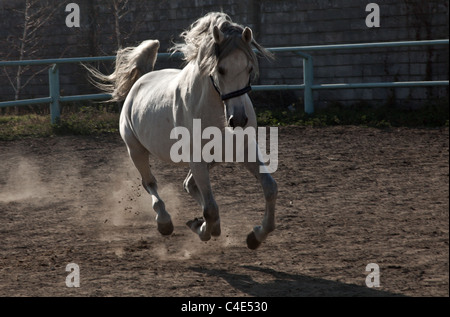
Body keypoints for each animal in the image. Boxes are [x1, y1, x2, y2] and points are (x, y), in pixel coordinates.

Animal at [87, 12, 276, 248]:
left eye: (249, 69)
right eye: (220, 69)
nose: (239, 119)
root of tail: (140, 81)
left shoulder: (245, 150)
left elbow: (270, 188)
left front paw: (256, 236)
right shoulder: (196, 159)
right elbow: (210, 210)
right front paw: (202, 229)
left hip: (211, 159)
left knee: (189, 185)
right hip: (136, 150)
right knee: (150, 183)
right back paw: (164, 222)